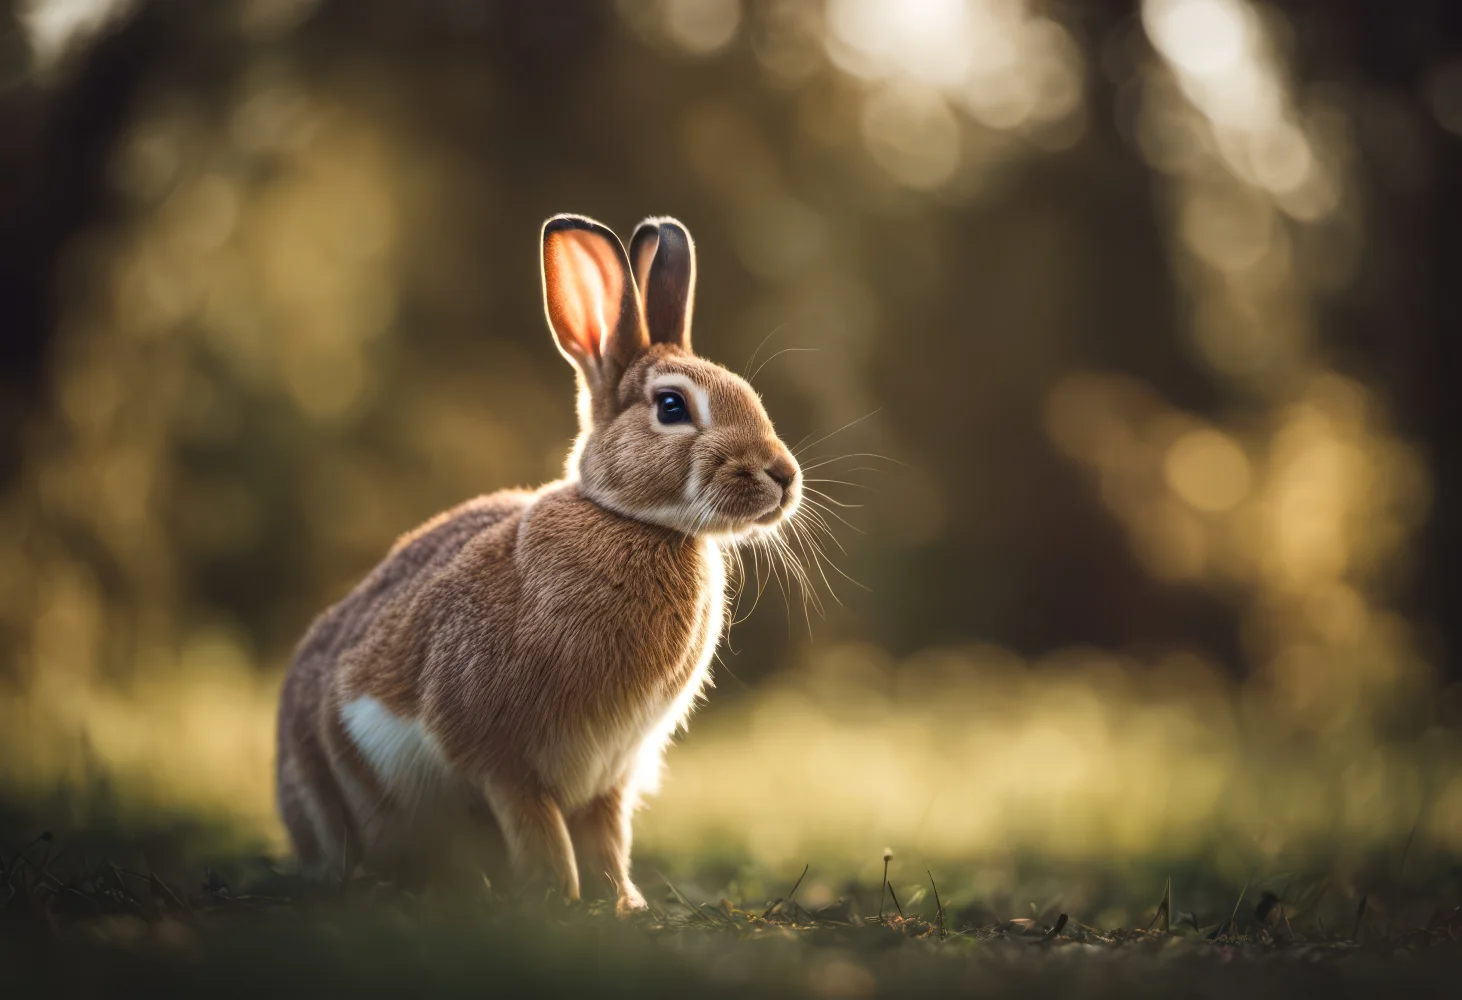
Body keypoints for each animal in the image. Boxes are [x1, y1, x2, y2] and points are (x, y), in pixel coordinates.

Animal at [275, 214, 801, 915]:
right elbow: (540, 827)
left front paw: (622, 905)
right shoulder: (500, 757)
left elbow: (608, 836)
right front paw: (558, 899)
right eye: (672, 407)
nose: (783, 476)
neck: (637, 523)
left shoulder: (612, 773)